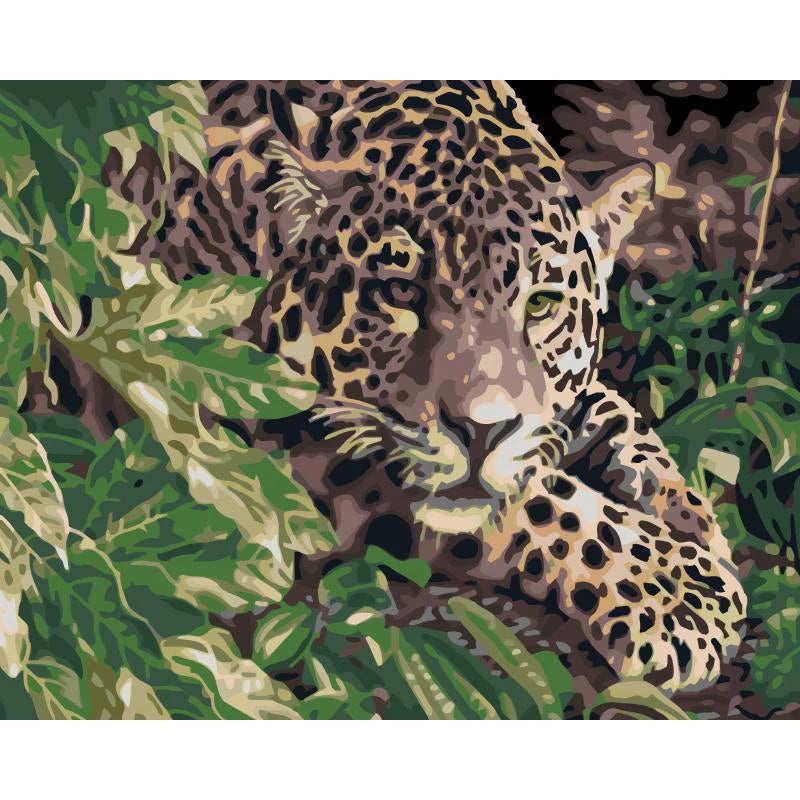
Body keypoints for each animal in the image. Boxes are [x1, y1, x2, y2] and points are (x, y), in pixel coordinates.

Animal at [114, 80, 746, 696]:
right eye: (400, 292)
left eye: (542, 304)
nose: (481, 431)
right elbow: (540, 498)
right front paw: (680, 594)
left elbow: (618, 423)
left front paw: (694, 523)